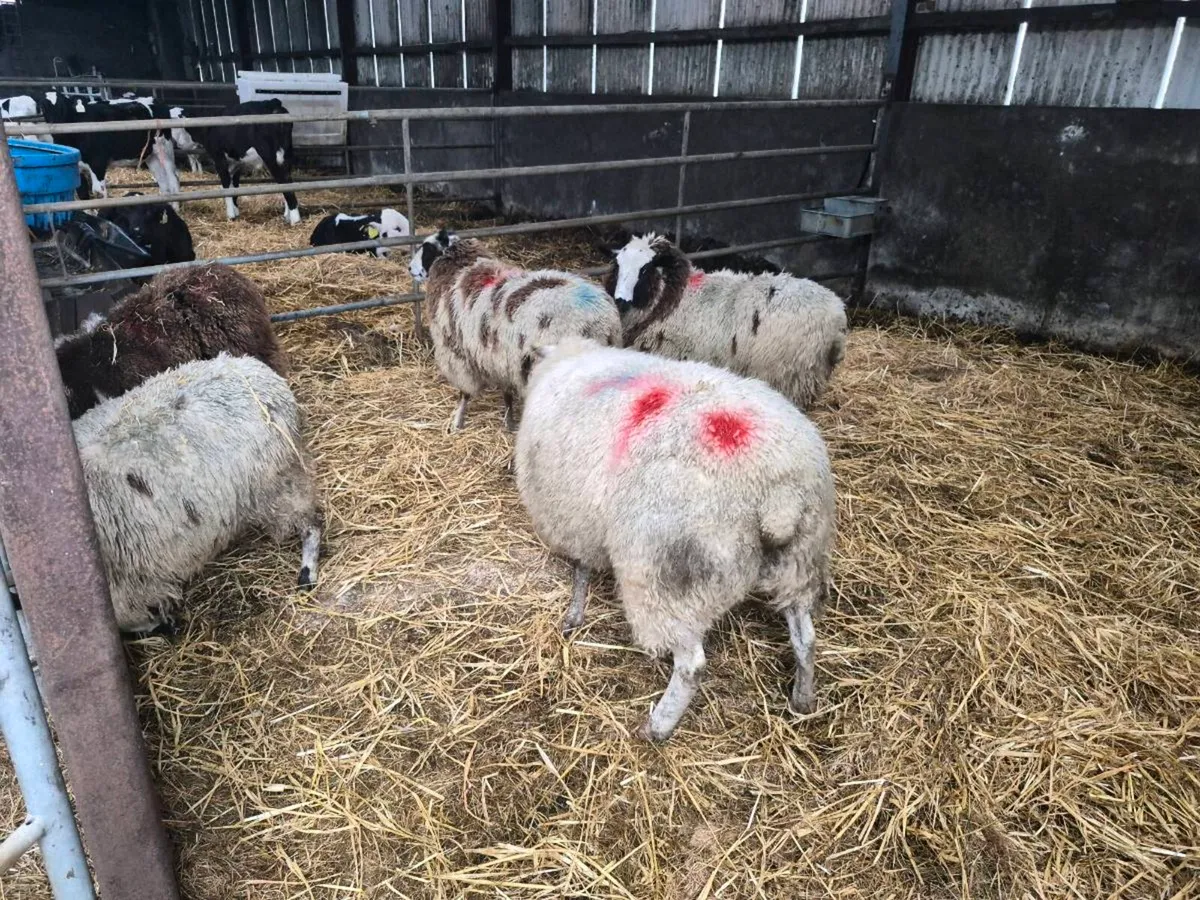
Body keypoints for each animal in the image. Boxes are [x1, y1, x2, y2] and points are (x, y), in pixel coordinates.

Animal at [73, 354, 322, 633]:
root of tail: (256, 371)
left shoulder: (126, 585)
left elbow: (135, 618)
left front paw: (164, 624)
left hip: (277, 483)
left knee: (311, 524)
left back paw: (306, 576)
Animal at [410, 228, 623, 431]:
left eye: (427, 248)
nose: (409, 268)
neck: (461, 269)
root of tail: (598, 318)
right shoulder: (502, 358)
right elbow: (507, 394)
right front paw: (510, 422)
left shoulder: (456, 354)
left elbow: (465, 394)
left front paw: (457, 422)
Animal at [514, 336, 836, 741]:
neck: (567, 360)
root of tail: (779, 494)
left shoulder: (570, 517)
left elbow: (581, 570)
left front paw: (574, 613)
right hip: (799, 560)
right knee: (805, 637)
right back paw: (802, 699)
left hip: (667, 579)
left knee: (692, 664)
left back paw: (658, 726)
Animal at [606, 233, 848, 409]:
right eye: (618, 266)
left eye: (645, 268)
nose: (620, 300)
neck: (673, 297)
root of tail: (837, 315)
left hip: (789, 374)